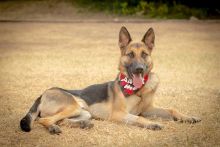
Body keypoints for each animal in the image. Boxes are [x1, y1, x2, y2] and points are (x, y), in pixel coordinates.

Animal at [20, 26, 201, 134]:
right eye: (130, 55)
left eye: (144, 54)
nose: (139, 69)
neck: (139, 90)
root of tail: (43, 94)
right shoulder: (119, 114)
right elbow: (139, 118)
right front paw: (151, 124)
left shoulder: (148, 109)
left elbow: (172, 110)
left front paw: (189, 117)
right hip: (73, 105)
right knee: (43, 119)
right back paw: (53, 127)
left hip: (84, 112)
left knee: (63, 120)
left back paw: (82, 125)